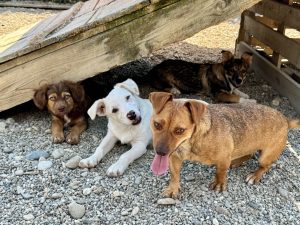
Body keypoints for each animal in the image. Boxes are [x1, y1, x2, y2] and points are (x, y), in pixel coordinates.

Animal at [149, 91, 298, 197]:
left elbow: (220, 172)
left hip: (265, 156)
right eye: (157, 125)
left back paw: (255, 175)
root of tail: (285, 119)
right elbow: (174, 175)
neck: (192, 141)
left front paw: (219, 184)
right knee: (248, 154)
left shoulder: (223, 158)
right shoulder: (174, 157)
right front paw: (173, 188)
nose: (160, 152)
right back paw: (237, 161)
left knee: (265, 166)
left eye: (180, 130)